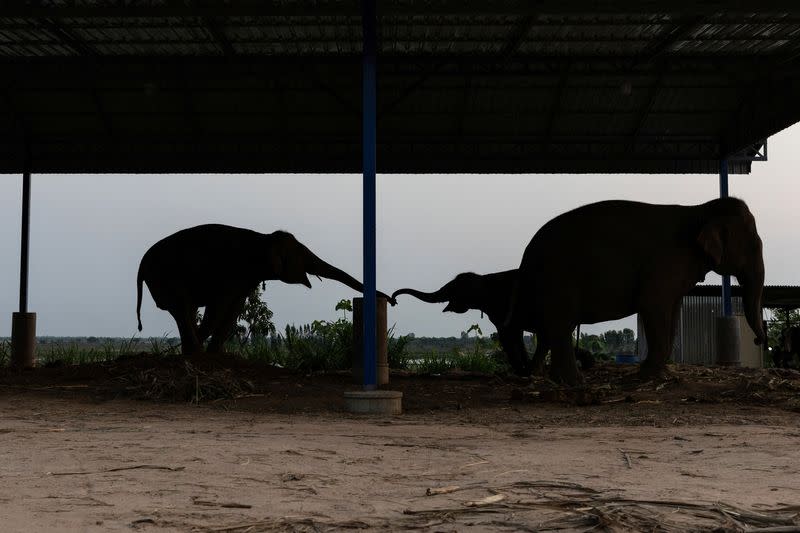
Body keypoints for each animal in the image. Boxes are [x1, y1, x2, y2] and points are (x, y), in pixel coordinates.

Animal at [140, 223, 396, 354]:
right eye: (301, 254)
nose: (393, 300)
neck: (263, 238)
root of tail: (141, 266)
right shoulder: (231, 272)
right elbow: (220, 306)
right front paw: (204, 354)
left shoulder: (245, 279)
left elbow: (233, 309)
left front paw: (214, 356)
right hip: (166, 277)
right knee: (182, 308)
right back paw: (192, 352)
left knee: (186, 309)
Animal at [510, 197, 764, 384]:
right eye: (755, 246)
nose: (758, 341)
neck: (700, 209)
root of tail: (525, 257)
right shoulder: (665, 263)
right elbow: (653, 304)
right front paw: (645, 377)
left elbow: (673, 311)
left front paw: (660, 375)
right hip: (557, 278)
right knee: (560, 325)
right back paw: (573, 382)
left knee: (551, 329)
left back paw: (547, 378)